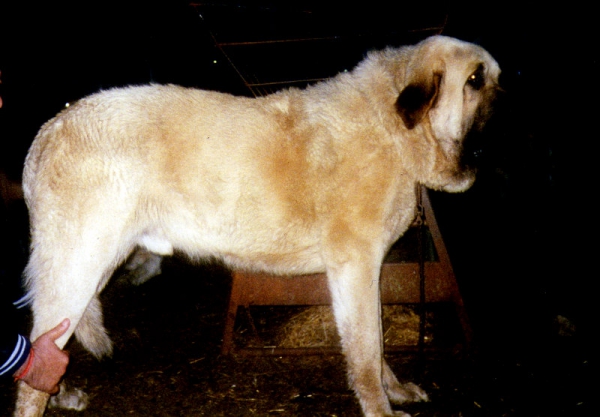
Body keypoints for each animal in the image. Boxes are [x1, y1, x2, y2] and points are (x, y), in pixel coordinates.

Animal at [15, 36, 502, 416]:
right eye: (475, 81)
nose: (511, 106)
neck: (393, 128)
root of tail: (49, 130)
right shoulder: (356, 268)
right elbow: (367, 351)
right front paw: (380, 409)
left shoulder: (362, 274)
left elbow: (376, 345)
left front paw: (395, 392)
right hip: (78, 267)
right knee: (37, 352)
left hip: (90, 268)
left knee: (48, 343)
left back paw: (62, 393)